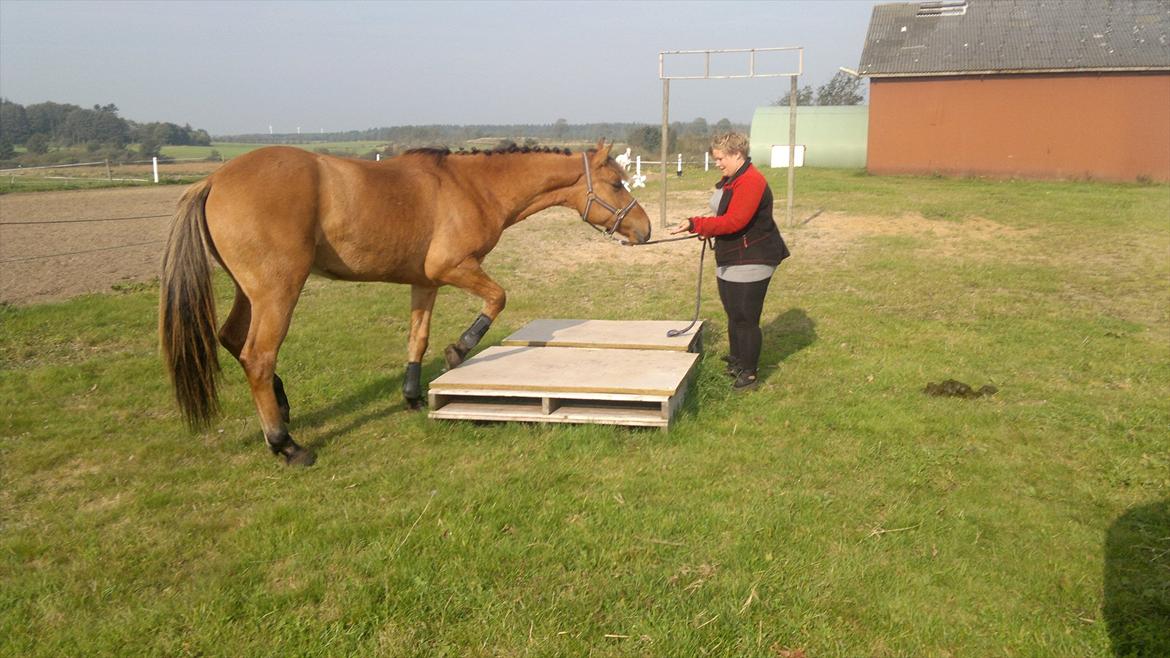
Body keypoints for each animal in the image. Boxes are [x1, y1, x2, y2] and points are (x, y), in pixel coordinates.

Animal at [159, 140, 651, 466]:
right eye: (616, 183)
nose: (644, 230)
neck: (470, 186)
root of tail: (212, 179)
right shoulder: (454, 267)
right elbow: (497, 298)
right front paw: (458, 350)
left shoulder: (425, 282)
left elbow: (418, 339)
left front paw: (413, 396)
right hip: (278, 290)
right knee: (258, 356)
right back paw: (285, 443)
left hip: (250, 292)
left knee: (231, 340)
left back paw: (281, 407)